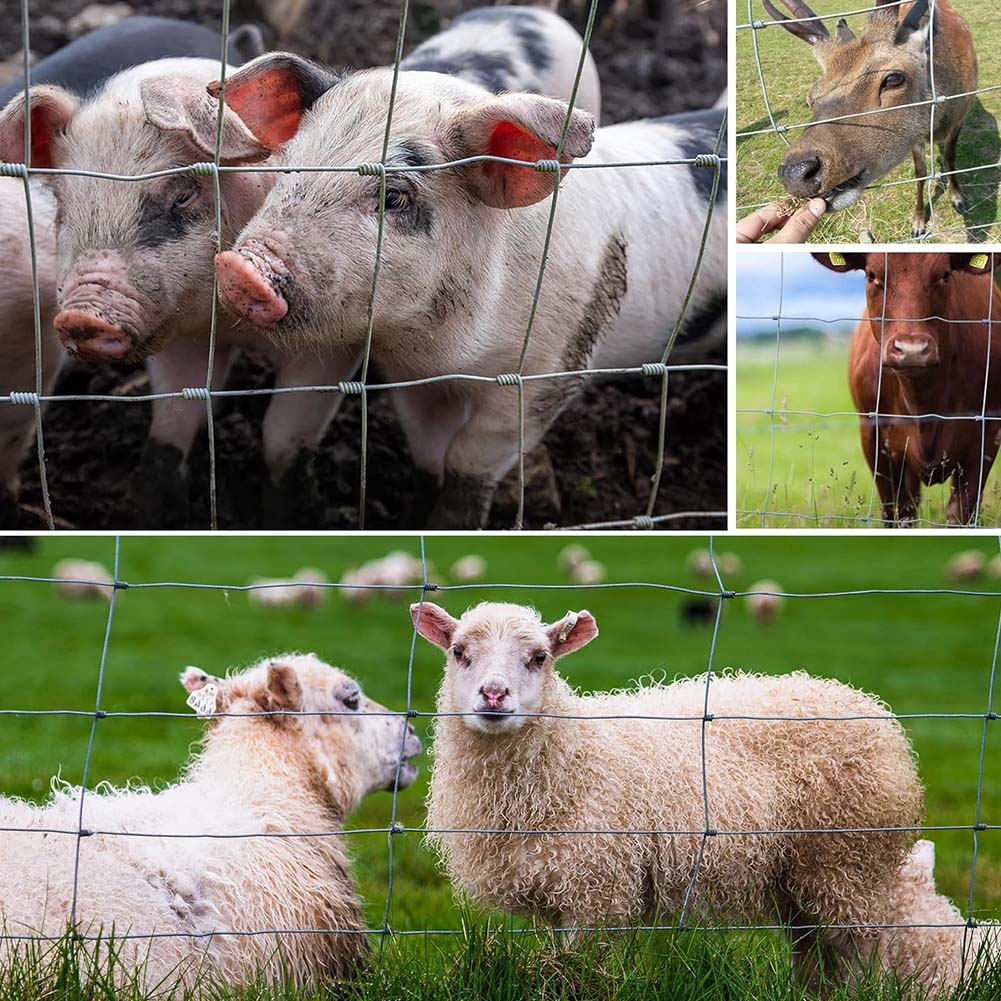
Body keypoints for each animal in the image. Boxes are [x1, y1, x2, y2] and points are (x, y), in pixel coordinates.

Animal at [767, 0, 978, 238]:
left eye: (894, 79)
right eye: (811, 97)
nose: (795, 174)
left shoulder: (962, 114)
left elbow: (951, 157)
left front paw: (959, 199)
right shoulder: (915, 139)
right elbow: (920, 172)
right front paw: (917, 223)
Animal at [814, 251, 1001, 525]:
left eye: (945, 274)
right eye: (872, 275)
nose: (912, 350)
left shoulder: (987, 434)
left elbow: (960, 512)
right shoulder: (873, 435)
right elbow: (896, 511)